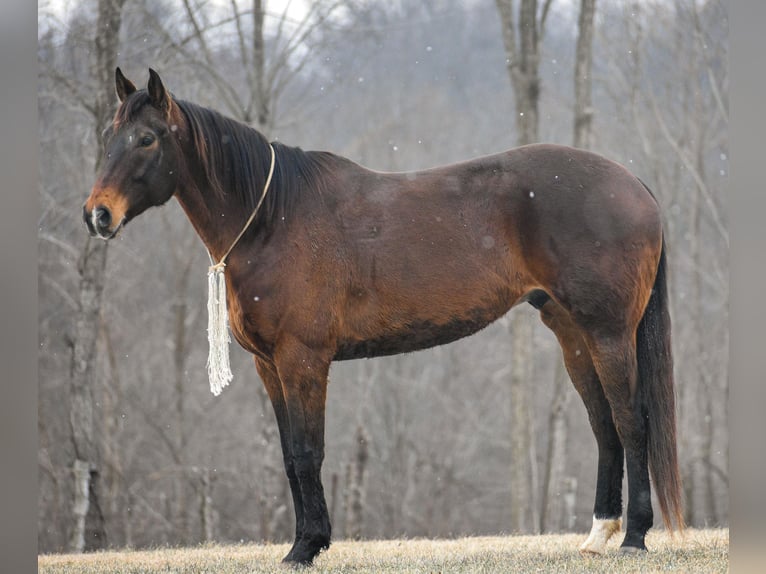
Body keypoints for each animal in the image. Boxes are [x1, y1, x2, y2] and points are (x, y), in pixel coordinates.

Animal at [82, 68, 684, 568]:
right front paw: (303, 542)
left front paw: (306, 547)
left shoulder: (303, 360)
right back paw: (599, 535)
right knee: (603, 426)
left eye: (147, 139)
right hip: (572, 334)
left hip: (609, 333)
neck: (273, 217)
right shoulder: (268, 367)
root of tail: (635, 185)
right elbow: (289, 455)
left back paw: (634, 538)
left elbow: (308, 452)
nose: (97, 215)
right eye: (109, 136)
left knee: (632, 422)